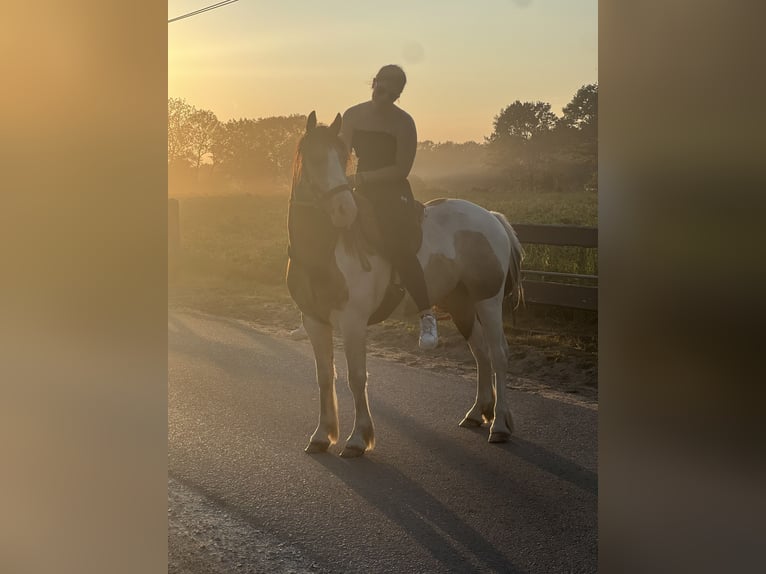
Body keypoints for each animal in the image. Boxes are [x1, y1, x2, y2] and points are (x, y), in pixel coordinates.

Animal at [286, 111, 524, 457]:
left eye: (344, 158)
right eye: (315, 158)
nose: (345, 210)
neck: (323, 249)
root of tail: (491, 217)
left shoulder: (353, 321)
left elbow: (356, 377)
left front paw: (358, 438)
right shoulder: (315, 321)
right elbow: (324, 376)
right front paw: (321, 435)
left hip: (488, 301)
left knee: (499, 354)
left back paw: (501, 425)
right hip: (461, 304)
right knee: (480, 352)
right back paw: (477, 413)